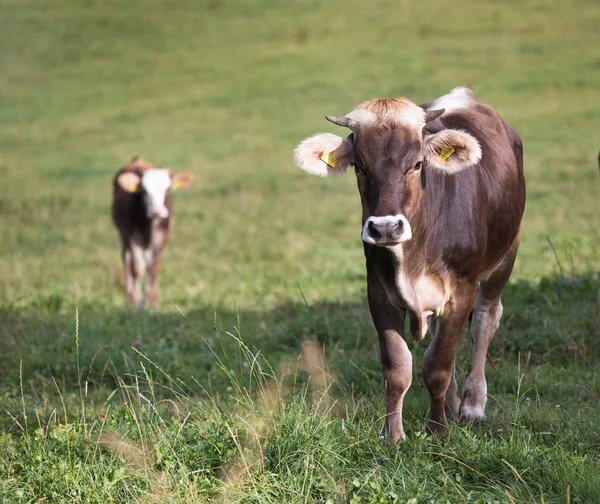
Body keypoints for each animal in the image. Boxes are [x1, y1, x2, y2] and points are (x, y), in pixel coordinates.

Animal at [111, 156, 193, 310]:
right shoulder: (132, 237)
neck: (149, 225)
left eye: (168, 189)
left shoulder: (162, 237)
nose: (157, 211)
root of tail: (137, 159)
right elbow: (136, 268)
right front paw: (135, 302)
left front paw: (154, 302)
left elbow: (154, 267)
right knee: (128, 261)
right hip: (123, 237)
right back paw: (130, 297)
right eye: (143, 191)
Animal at [294, 88, 524, 442]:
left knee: (485, 320)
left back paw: (472, 405)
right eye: (359, 167)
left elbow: (438, 364)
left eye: (417, 164)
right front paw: (393, 435)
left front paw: (438, 430)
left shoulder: (462, 289)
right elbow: (398, 367)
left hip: (505, 255)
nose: (386, 228)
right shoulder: (379, 292)